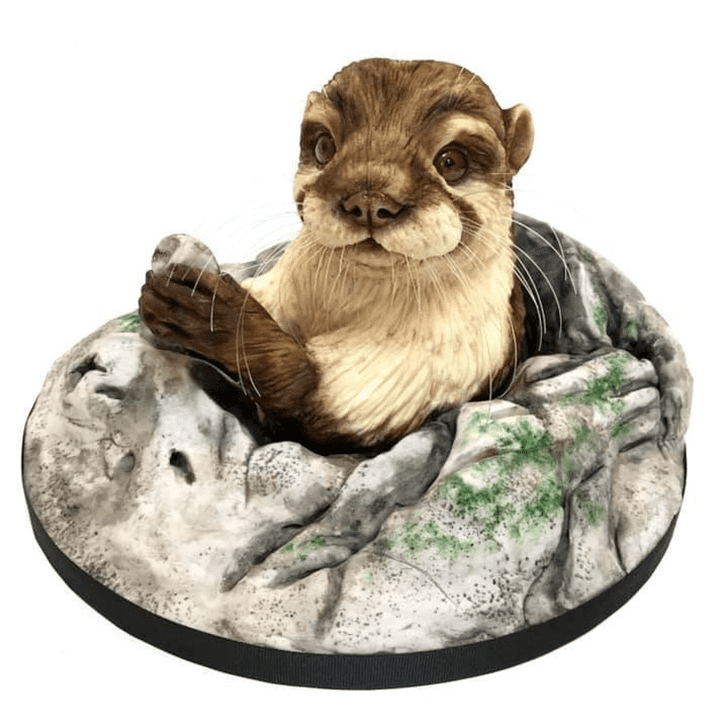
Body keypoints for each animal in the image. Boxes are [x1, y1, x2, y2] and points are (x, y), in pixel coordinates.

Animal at [140, 59, 534, 452]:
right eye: (324, 147)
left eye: (451, 161)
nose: (369, 199)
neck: (340, 307)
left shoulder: (417, 377)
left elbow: (308, 401)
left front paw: (208, 314)